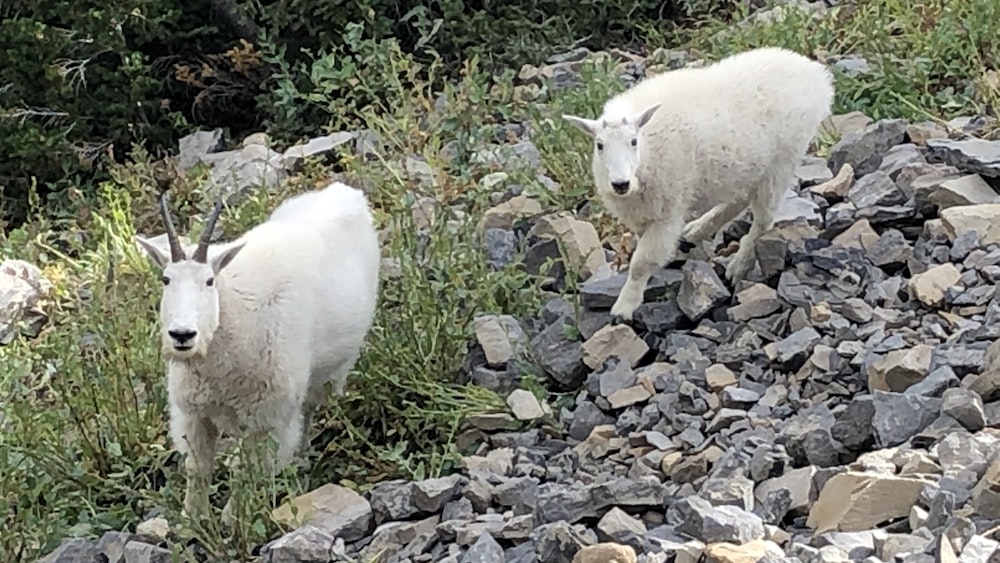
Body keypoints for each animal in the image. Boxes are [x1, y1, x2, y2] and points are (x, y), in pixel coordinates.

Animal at [135, 182, 380, 524]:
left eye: (209, 281)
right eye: (166, 279)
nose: (182, 335)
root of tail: (347, 192)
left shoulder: (267, 416)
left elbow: (246, 471)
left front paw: (233, 519)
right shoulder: (194, 413)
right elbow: (198, 468)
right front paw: (193, 520)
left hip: (330, 371)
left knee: (310, 408)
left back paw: (301, 459)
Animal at [564, 46, 836, 322]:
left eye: (633, 141)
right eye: (599, 145)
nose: (620, 184)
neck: (648, 153)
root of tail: (817, 76)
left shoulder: (667, 211)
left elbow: (642, 262)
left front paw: (624, 308)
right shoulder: (645, 212)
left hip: (782, 160)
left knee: (763, 219)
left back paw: (737, 266)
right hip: (747, 166)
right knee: (738, 199)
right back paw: (696, 231)